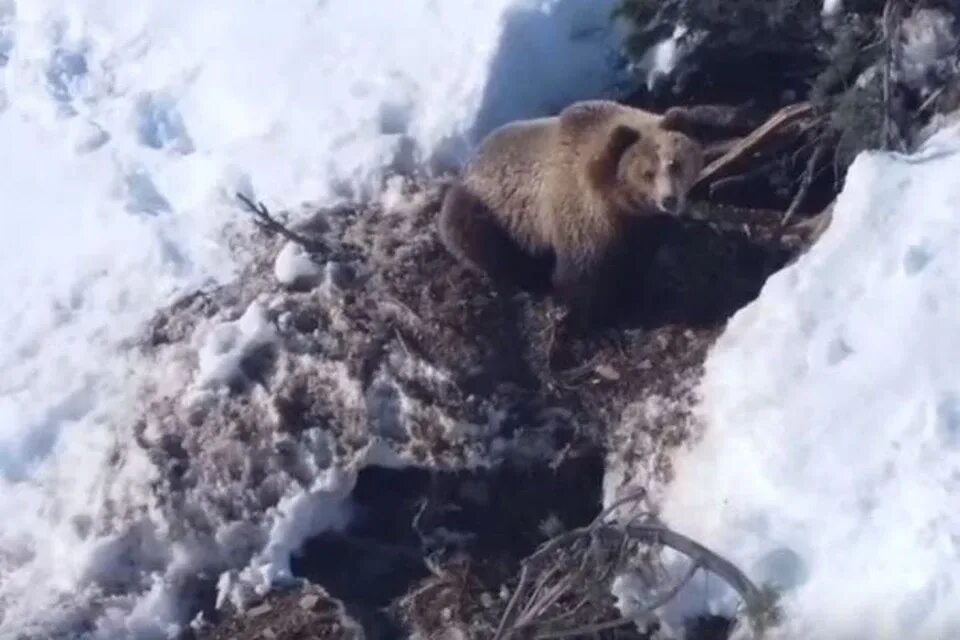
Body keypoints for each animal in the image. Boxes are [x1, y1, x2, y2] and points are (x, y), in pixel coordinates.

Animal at [438, 100, 700, 330]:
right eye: (647, 172)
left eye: (674, 163)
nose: (669, 199)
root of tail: (469, 160)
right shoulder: (580, 216)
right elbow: (580, 274)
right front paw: (590, 317)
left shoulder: (641, 226)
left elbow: (638, 260)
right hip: (487, 210)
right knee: (481, 244)